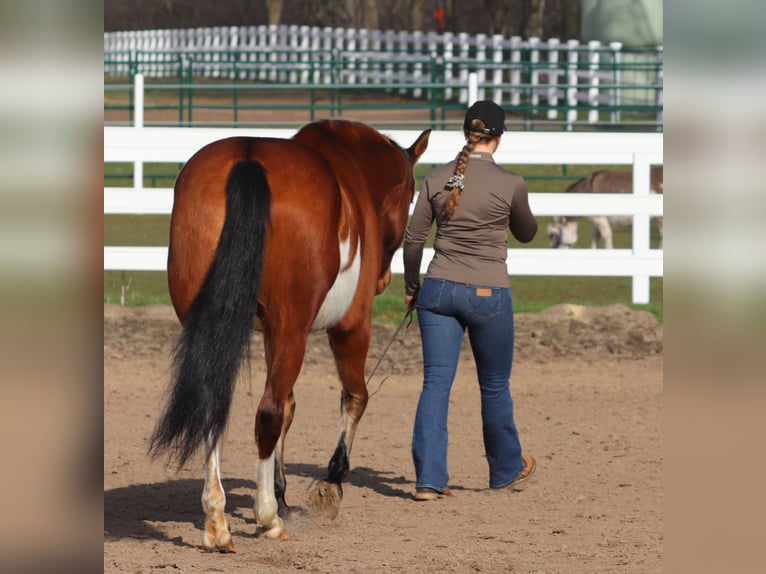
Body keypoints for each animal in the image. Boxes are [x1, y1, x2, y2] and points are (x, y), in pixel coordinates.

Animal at [149, 119, 430, 549]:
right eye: (411, 194)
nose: (384, 280)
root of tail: (247, 160)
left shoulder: (267, 332)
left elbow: (290, 407)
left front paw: (280, 492)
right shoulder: (350, 327)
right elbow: (355, 397)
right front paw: (331, 482)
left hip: (215, 326)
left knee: (217, 406)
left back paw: (217, 520)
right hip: (292, 330)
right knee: (268, 412)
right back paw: (267, 519)